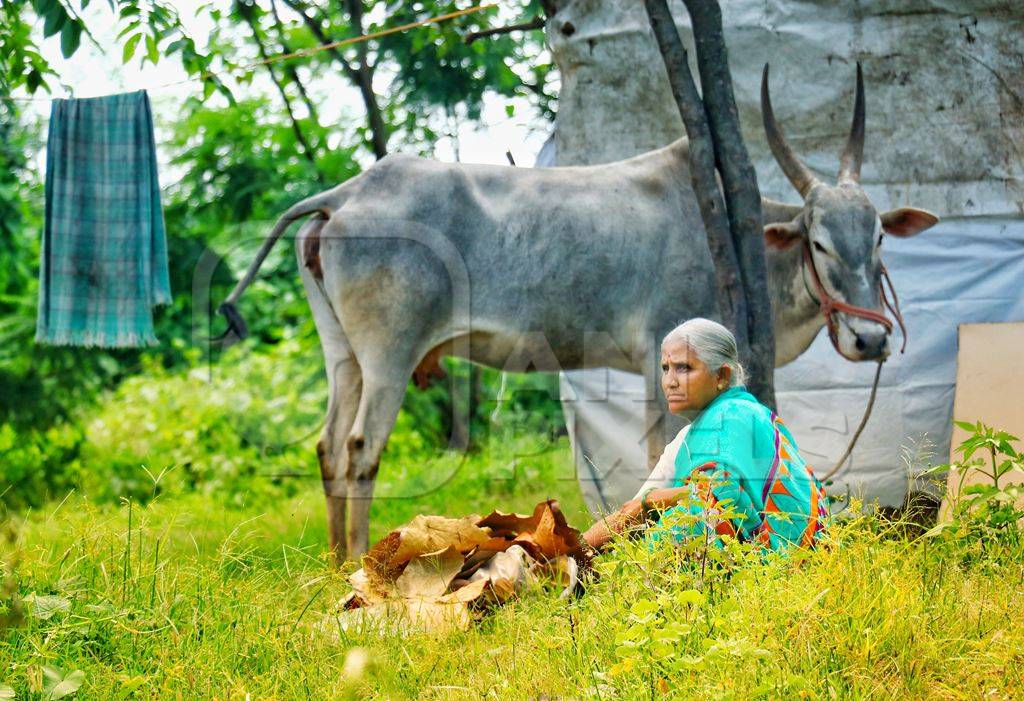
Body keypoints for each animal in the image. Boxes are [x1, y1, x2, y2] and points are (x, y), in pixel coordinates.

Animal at [220, 67, 937, 556]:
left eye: (878, 237)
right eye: (819, 242)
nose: (870, 339)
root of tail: (345, 193)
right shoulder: (657, 357)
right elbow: (656, 453)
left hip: (344, 355)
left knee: (326, 446)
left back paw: (334, 559)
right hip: (387, 354)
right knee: (360, 448)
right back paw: (360, 558)